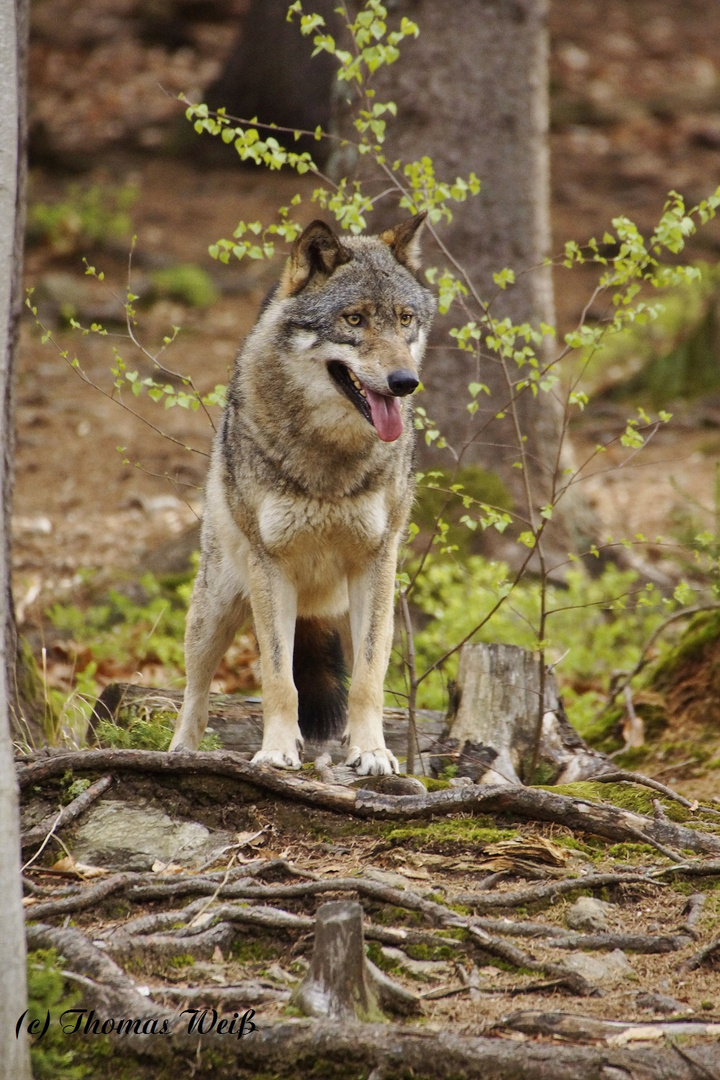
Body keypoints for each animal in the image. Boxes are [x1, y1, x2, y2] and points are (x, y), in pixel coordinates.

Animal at [171, 210, 436, 773]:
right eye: (354, 320)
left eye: (405, 319)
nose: (405, 381)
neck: (328, 458)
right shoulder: (271, 565)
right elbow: (278, 679)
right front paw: (275, 749)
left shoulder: (377, 562)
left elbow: (368, 681)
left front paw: (372, 752)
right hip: (216, 611)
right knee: (196, 689)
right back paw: (182, 751)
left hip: (353, 609)